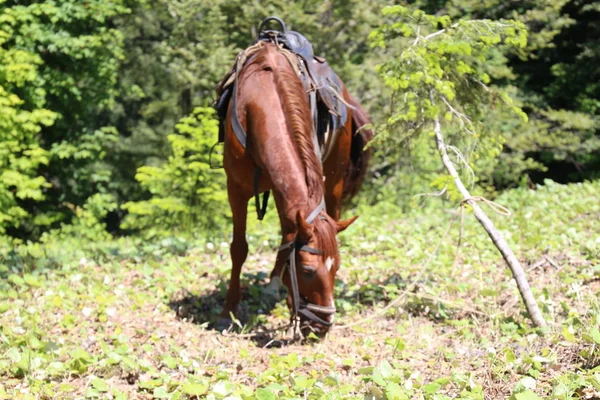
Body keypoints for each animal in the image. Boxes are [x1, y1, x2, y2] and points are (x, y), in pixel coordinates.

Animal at [219, 40, 370, 336]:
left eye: (337, 267)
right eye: (308, 271)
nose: (323, 325)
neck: (260, 98)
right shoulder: (236, 189)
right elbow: (239, 247)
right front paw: (229, 309)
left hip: (334, 181)